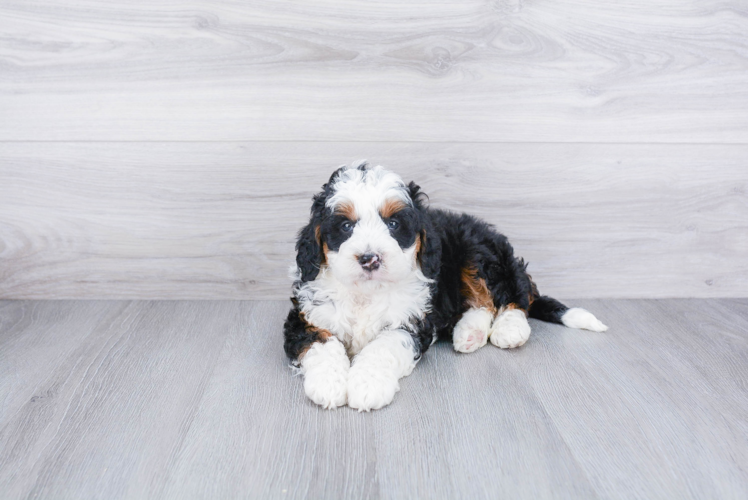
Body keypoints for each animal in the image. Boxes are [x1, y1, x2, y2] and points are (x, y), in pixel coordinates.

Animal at [286, 162, 608, 412]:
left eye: (393, 224)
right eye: (345, 227)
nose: (370, 258)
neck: (367, 291)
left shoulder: (412, 321)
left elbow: (384, 346)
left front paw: (368, 385)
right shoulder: (306, 317)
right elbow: (322, 344)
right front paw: (329, 384)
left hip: (479, 253)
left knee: (511, 294)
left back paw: (509, 329)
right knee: (482, 304)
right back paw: (470, 332)